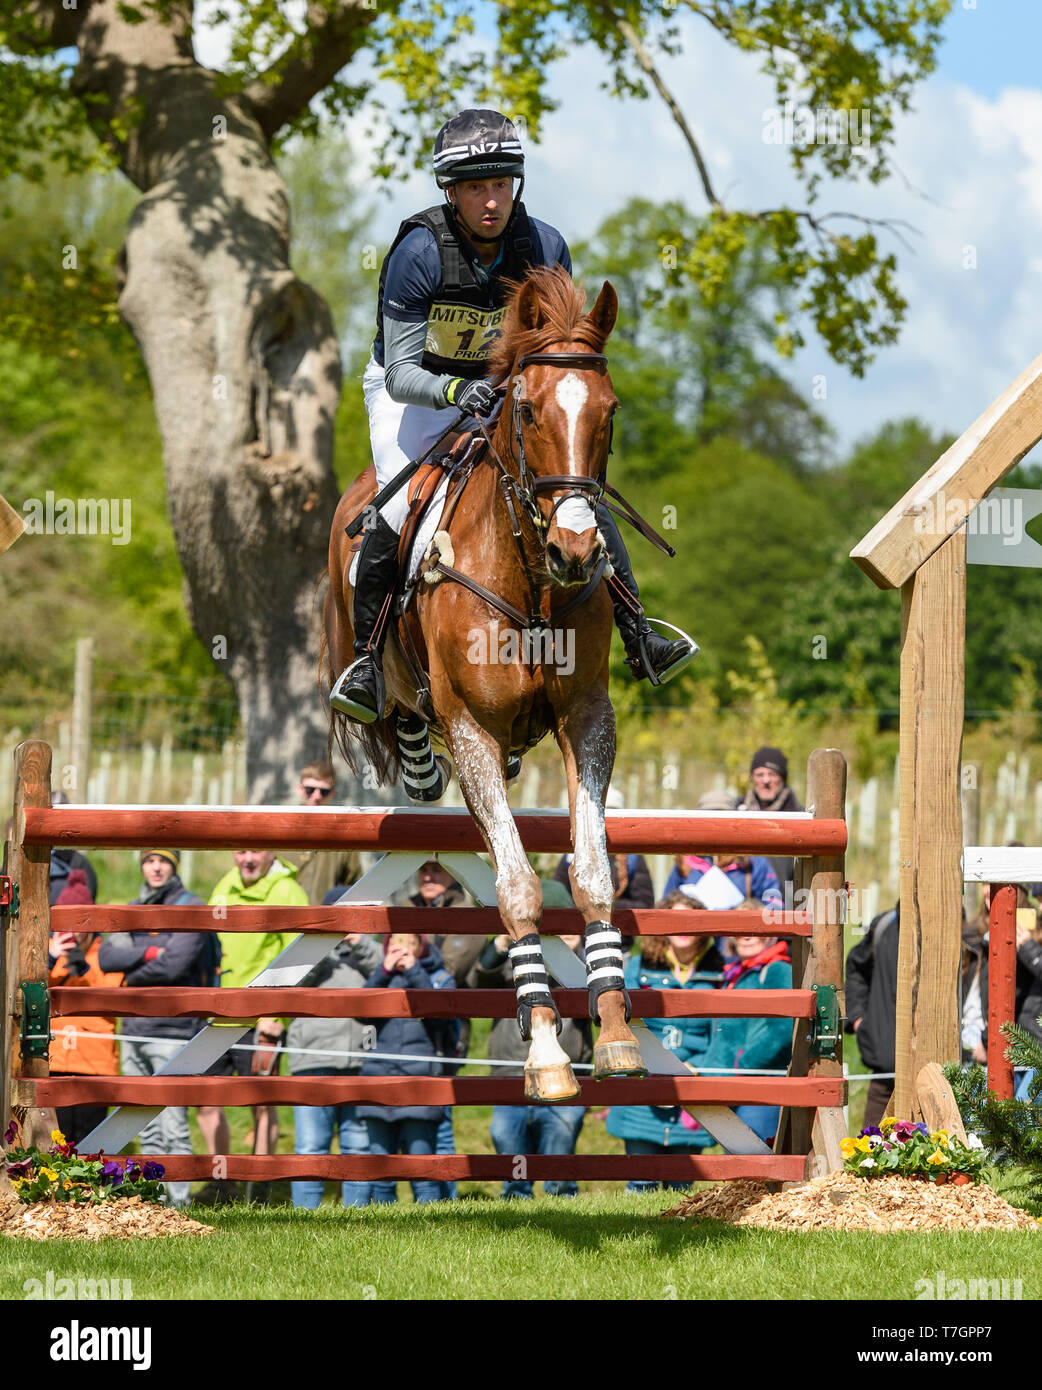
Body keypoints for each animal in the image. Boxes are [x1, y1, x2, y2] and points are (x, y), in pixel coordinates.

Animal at [322, 265, 644, 1100]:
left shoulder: (588, 720)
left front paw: (617, 1033)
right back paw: (413, 759)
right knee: (399, 703)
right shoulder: (471, 728)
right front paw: (547, 1052)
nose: (575, 551)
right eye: (527, 410)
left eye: (610, 412)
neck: (530, 579)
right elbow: (518, 885)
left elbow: (593, 873)